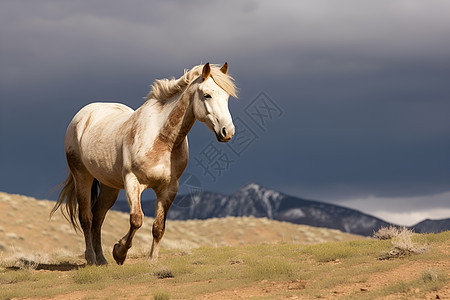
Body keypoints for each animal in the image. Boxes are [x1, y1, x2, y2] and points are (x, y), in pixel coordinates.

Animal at [51, 62, 237, 264]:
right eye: (207, 95)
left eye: (227, 97)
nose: (227, 132)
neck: (162, 138)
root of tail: (82, 116)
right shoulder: (133, 182)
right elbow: (136, 220)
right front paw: (119, 252)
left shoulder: (168, 188)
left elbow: (158, 227)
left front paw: (152, 260)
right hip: (82, 176)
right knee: (86, 217)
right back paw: (92, 259)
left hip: (110, 187)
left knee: (98, 218)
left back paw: (102, 260)